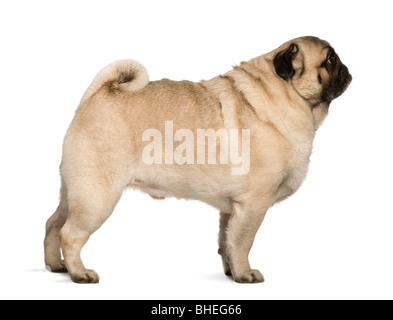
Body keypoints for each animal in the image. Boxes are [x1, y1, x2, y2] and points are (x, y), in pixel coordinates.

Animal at [44, 36, 350, 284]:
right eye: (330, 59)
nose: (346, 69)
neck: (287, 96)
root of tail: (97, 94)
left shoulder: (232, 209)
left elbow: (227, 242)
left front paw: (231, 272)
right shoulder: (253, 205)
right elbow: (243, 243)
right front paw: (245, 274)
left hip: (74, 191)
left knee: (53, 224)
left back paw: (56, 266)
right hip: (97, 197)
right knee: (70, 234)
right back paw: (79, 273)